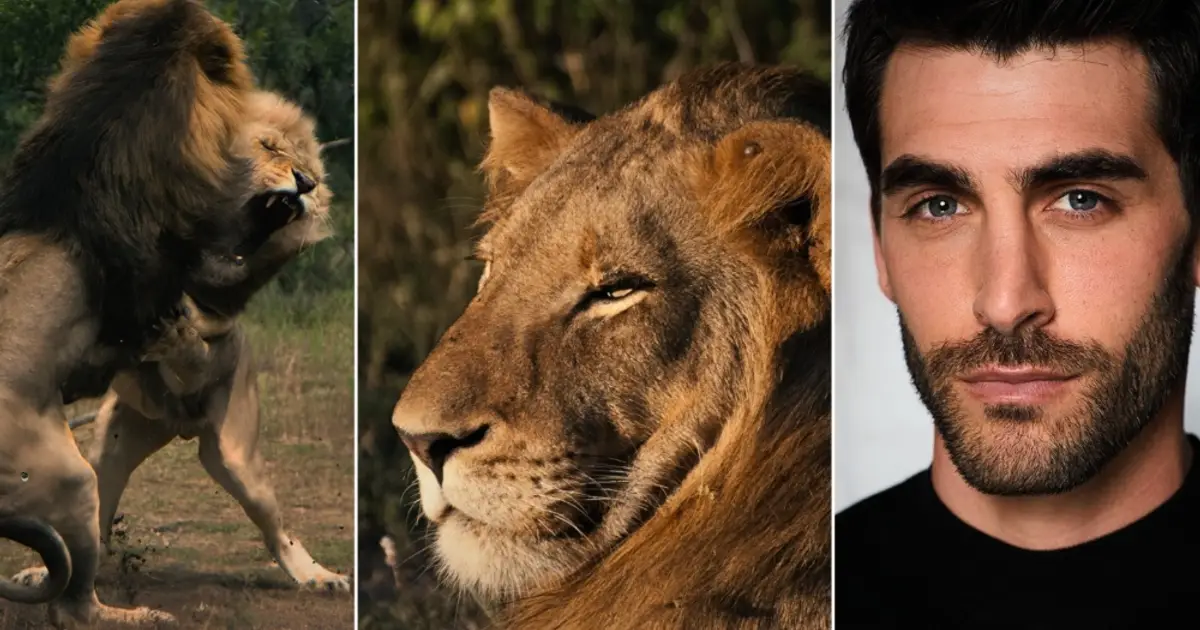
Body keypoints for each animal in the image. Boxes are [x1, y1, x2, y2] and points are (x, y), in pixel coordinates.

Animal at [29, 90, 352, 595]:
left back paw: (319, 576)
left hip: (237, 458)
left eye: (309, 171)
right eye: (269, 148)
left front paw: (174, 333)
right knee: (95, 518)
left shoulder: (214, 334)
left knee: (278, 529)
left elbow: (192, 346)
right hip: (112, 444)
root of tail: (178, 425)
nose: (306, 183)